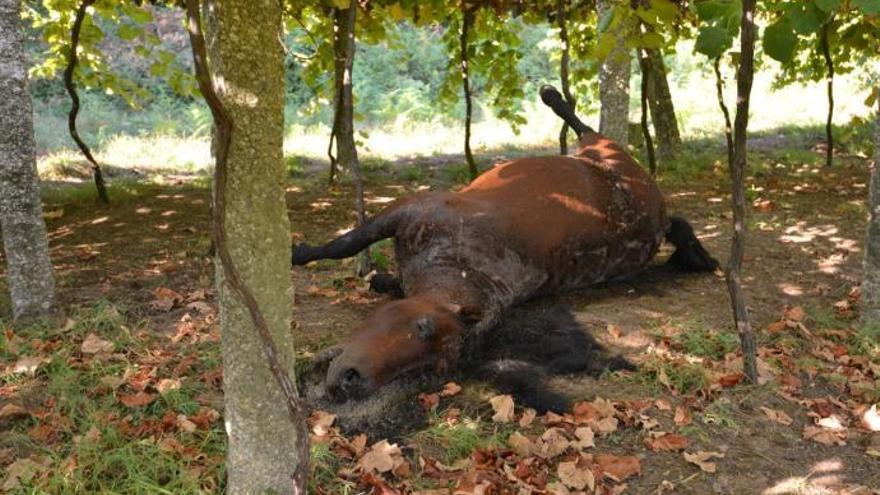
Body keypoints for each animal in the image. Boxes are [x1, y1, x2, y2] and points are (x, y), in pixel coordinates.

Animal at [292, 86, 720, 404]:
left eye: (428, 367)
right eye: (420, 325)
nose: (350, 380)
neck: (458, 260)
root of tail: (651, 199)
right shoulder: (402, 210)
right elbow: (342, 246)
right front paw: (302, 255)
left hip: (605, 151)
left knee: (584, 128)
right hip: (602, 152)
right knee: (583, 127)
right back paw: (551, 95)